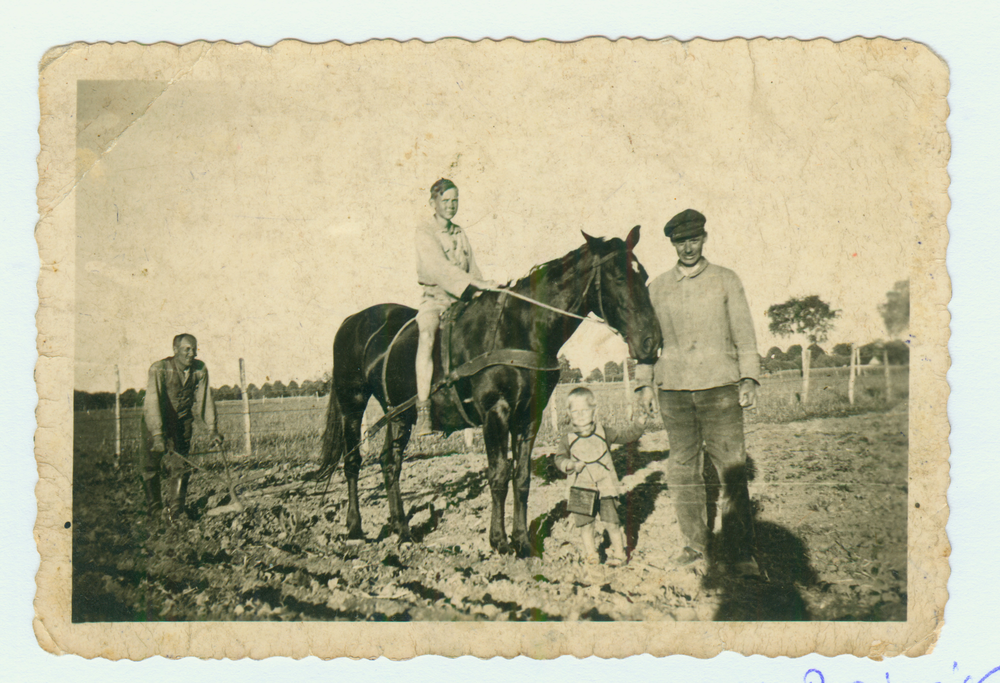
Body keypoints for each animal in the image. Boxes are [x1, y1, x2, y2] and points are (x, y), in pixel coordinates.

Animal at [308, 227, 660, 560]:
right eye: (618, 276)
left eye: (643, 275)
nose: (652, 342)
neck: (518, 327)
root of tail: (352, 322)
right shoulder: (496, 412)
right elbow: (499, 475)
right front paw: (499, 541)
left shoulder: (529, 416)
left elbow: (521, 477)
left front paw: (522, 541)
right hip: (352, 403)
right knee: (353, 461)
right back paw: (355, 528)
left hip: (399, 412)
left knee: (389, 462)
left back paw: (402, 530)